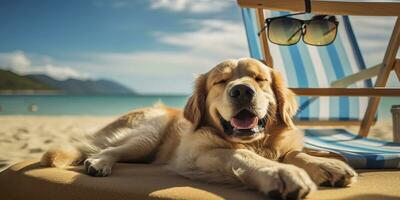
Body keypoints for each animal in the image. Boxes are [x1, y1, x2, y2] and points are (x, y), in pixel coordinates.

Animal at [40, 58, 356, 200]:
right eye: (220, 81)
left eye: (259, 79)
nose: (242, 91)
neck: (256, 142)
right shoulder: (198, 155)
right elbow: (242, 156)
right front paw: (279, 173)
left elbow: (295, 153)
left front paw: (326, 164)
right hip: (148, 133)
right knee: (107, 149)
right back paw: (99, 163)